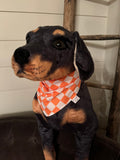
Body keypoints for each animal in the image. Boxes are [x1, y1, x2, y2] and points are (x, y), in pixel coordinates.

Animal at [11, 25, 97, 159]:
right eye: (28, 38)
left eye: (59, 44)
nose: (19, 54)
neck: (54, 89)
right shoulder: (44, 126)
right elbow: (48, 151)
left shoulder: (86, 129)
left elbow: (82, 155)